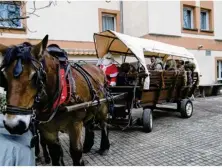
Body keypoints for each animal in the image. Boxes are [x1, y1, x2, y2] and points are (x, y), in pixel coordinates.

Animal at [0, 35, 110, 165]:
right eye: (4, 77)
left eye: (35, 76)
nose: (14, 125)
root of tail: (97, 68)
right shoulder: (47, 131)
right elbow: (55, 154)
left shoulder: (75, 125)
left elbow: (76, 153)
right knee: (89, 124)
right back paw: (87, 146)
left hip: (102, 107)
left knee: (104, 124)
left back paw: (104, 147)